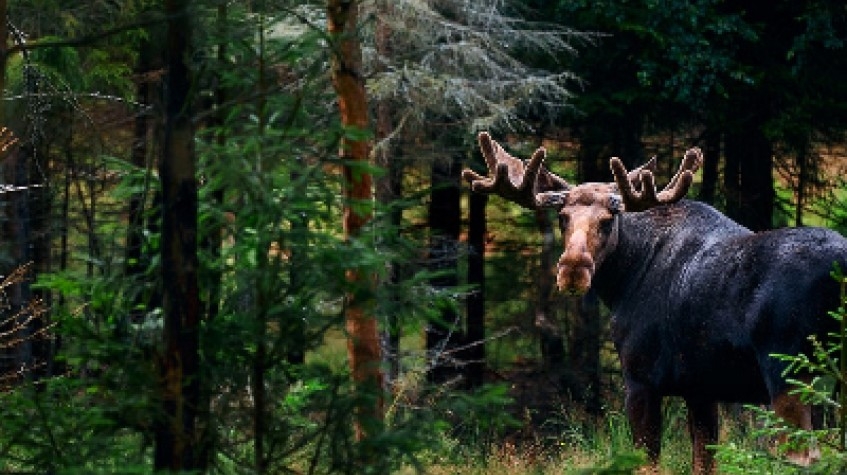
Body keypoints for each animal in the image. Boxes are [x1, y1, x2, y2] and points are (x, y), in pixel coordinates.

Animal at [463, 132, 847, 474]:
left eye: (608, 220)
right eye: (562, 217)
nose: (572, 270)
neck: (623, 280)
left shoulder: (641, 379)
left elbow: (647, 464)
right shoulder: (700, 388)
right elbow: (704, 463)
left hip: (789, 371)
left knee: (806, 457)